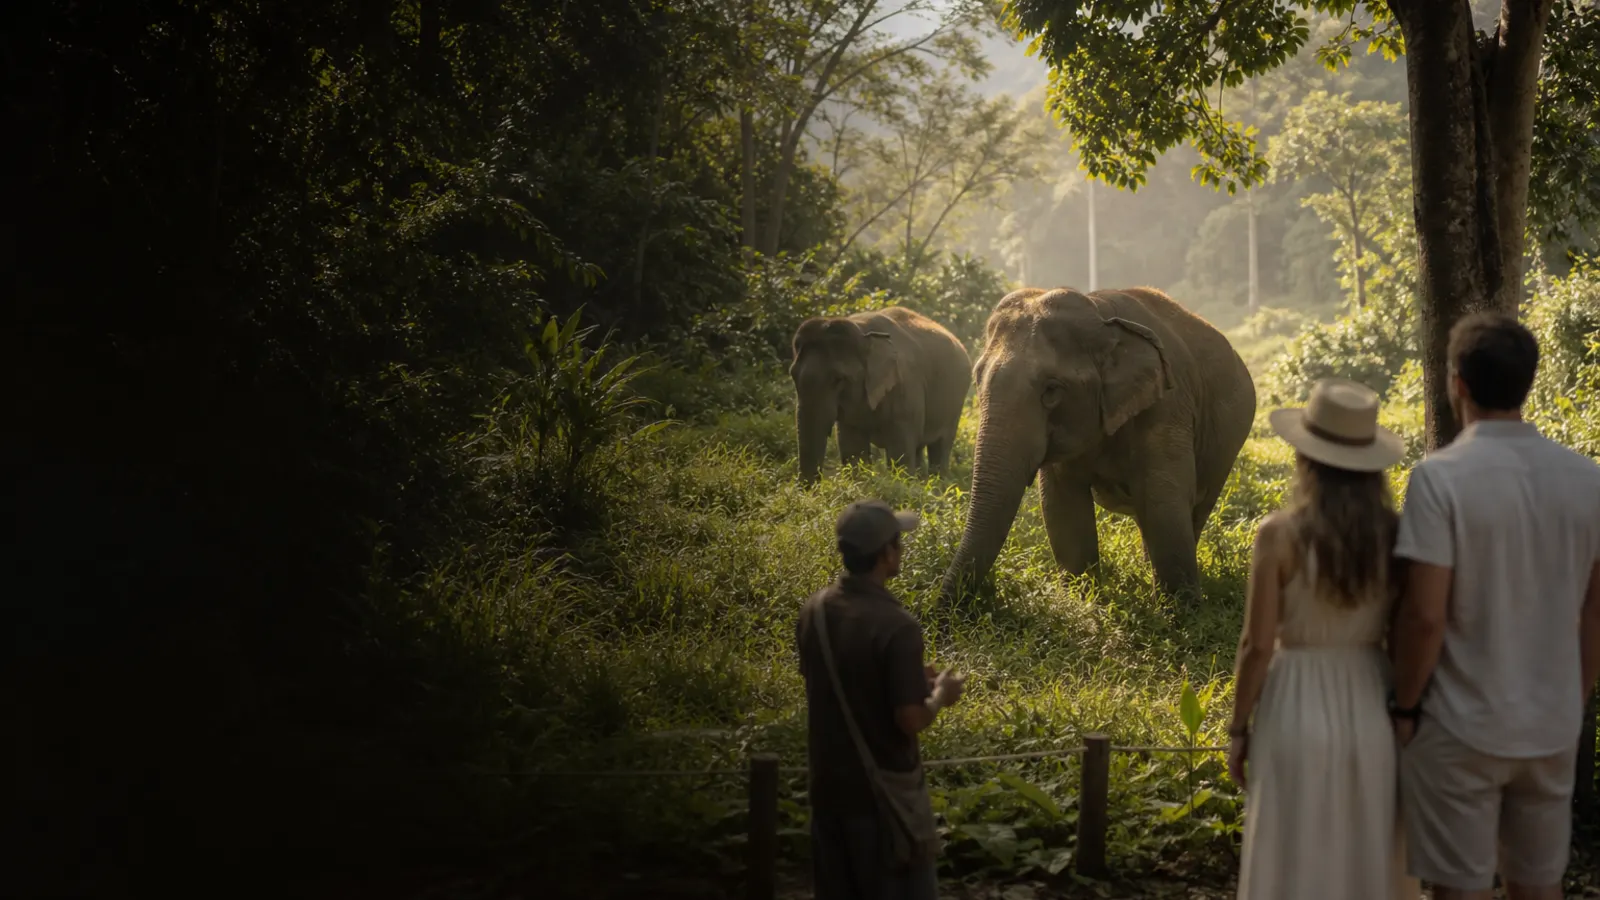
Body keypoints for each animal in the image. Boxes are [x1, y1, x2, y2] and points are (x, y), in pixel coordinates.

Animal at [790, 307, 973, 484]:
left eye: (838, 379)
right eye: (792, 375)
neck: (862, 331)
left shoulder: (905, 387)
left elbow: (899, 452)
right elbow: (853, 448)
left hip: (955, 402)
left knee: (940, 446)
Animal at [938, 286, 1256, 607]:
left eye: (1052, 389)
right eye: (977, 379)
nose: (943, 610)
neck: (1100, 314)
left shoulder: (1167, 406)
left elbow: (1164, 497)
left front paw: (1179, 611)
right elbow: (1062, 504)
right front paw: (1082, 600)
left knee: (1195, 508)